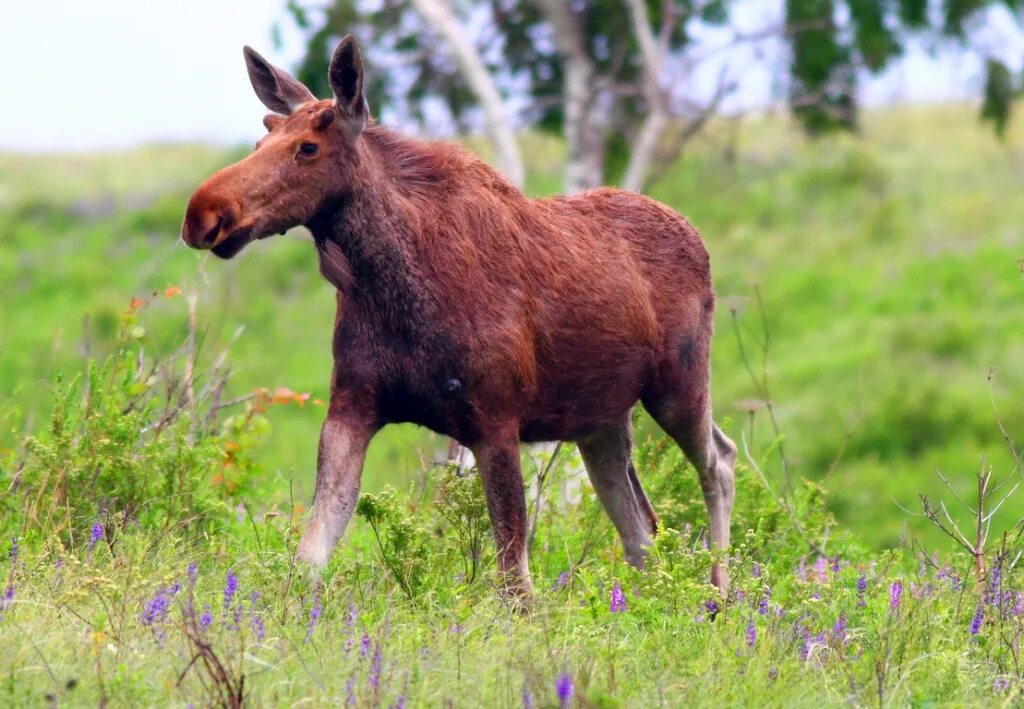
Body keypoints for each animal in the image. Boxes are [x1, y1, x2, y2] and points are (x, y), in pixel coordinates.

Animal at [178, 34, 737, 598]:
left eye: (308, 147)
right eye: (260, 140)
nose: (203, 213)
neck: (389, 286)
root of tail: (695, 236)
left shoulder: (496, 419)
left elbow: (515, 582)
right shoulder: (352, 406)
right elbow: (310, 553)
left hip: (678, 385)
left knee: (720, 460)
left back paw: (721, 589)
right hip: (598, 419)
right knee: (640, 531)